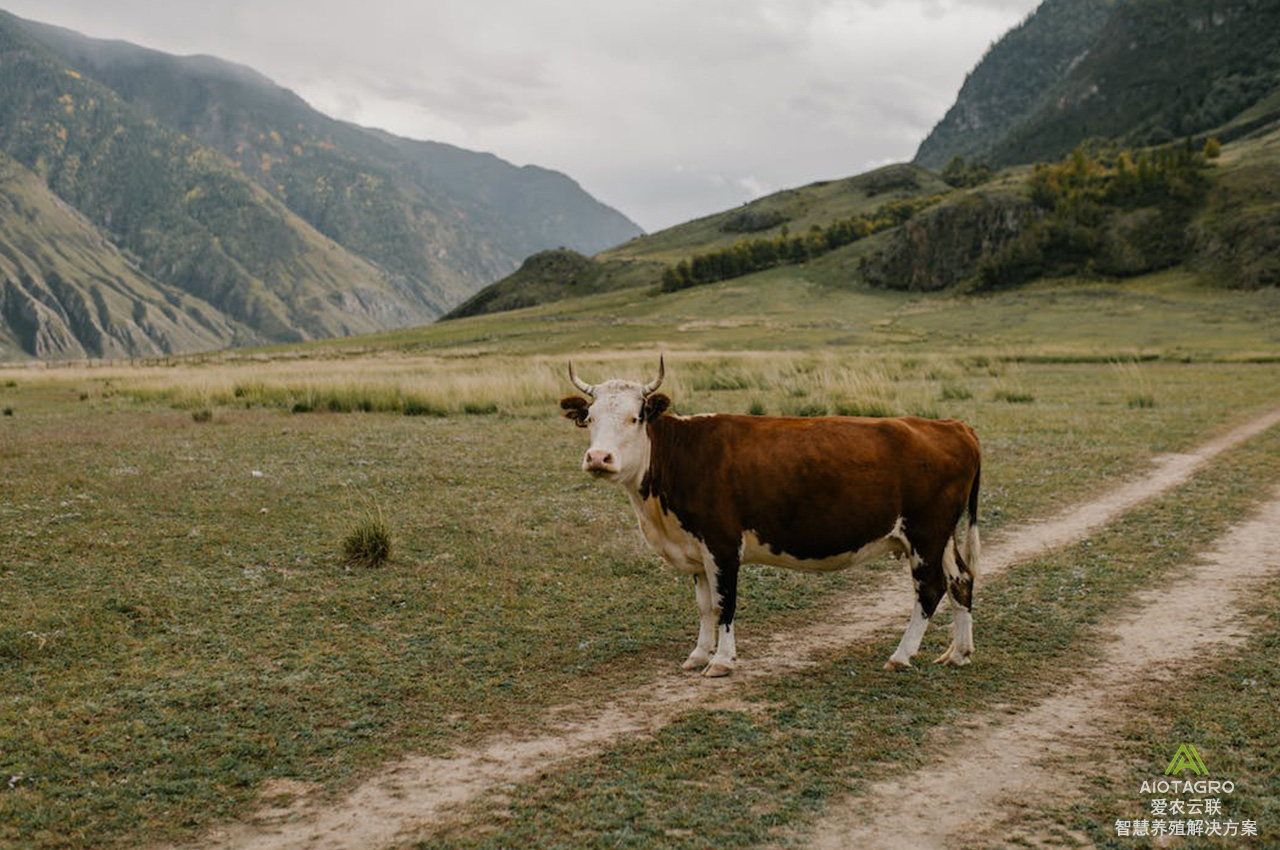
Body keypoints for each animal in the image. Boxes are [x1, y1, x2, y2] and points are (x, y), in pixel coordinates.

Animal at [558, 355, 977, 675]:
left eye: (635, 417)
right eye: (590, 419)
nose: (598, 458)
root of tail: (950, 425)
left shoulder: (723, 545)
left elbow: (724, 603)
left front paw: (722, 661)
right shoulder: (695, 549)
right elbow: (704, 605)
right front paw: (698, 655)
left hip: (925, 534)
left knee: (930, 589)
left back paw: (901, 655)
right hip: (941, 537)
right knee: (961, 580)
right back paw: (957, 653)